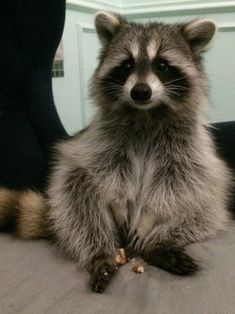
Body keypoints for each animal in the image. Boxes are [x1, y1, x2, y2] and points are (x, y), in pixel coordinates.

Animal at [0, 11, 232, 294]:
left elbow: (177, 180)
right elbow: (106, 171)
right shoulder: (102, 140)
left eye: (162, 65)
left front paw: (150, 215)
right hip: (72, 199)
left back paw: (158, 246)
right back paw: (100, 255)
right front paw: (119, 203)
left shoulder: (187, 147)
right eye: (127, 65)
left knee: (201, 210)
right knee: (78, 198)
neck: (146, 113)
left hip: (204, 201)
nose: (140, 92)